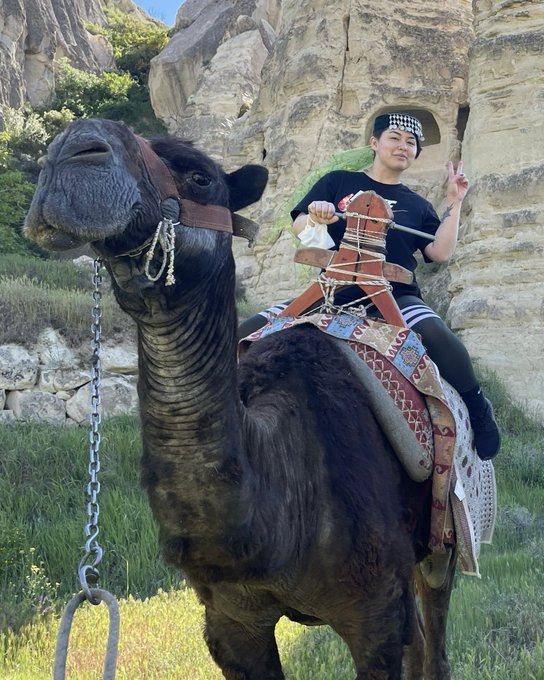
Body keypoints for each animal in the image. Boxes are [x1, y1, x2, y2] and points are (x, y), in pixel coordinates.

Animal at [24, 119, 456, 679]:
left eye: (201, 177)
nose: (70, 151)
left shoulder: (376, 613)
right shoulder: (230, 621)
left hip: (440, 540)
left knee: (436, 626)